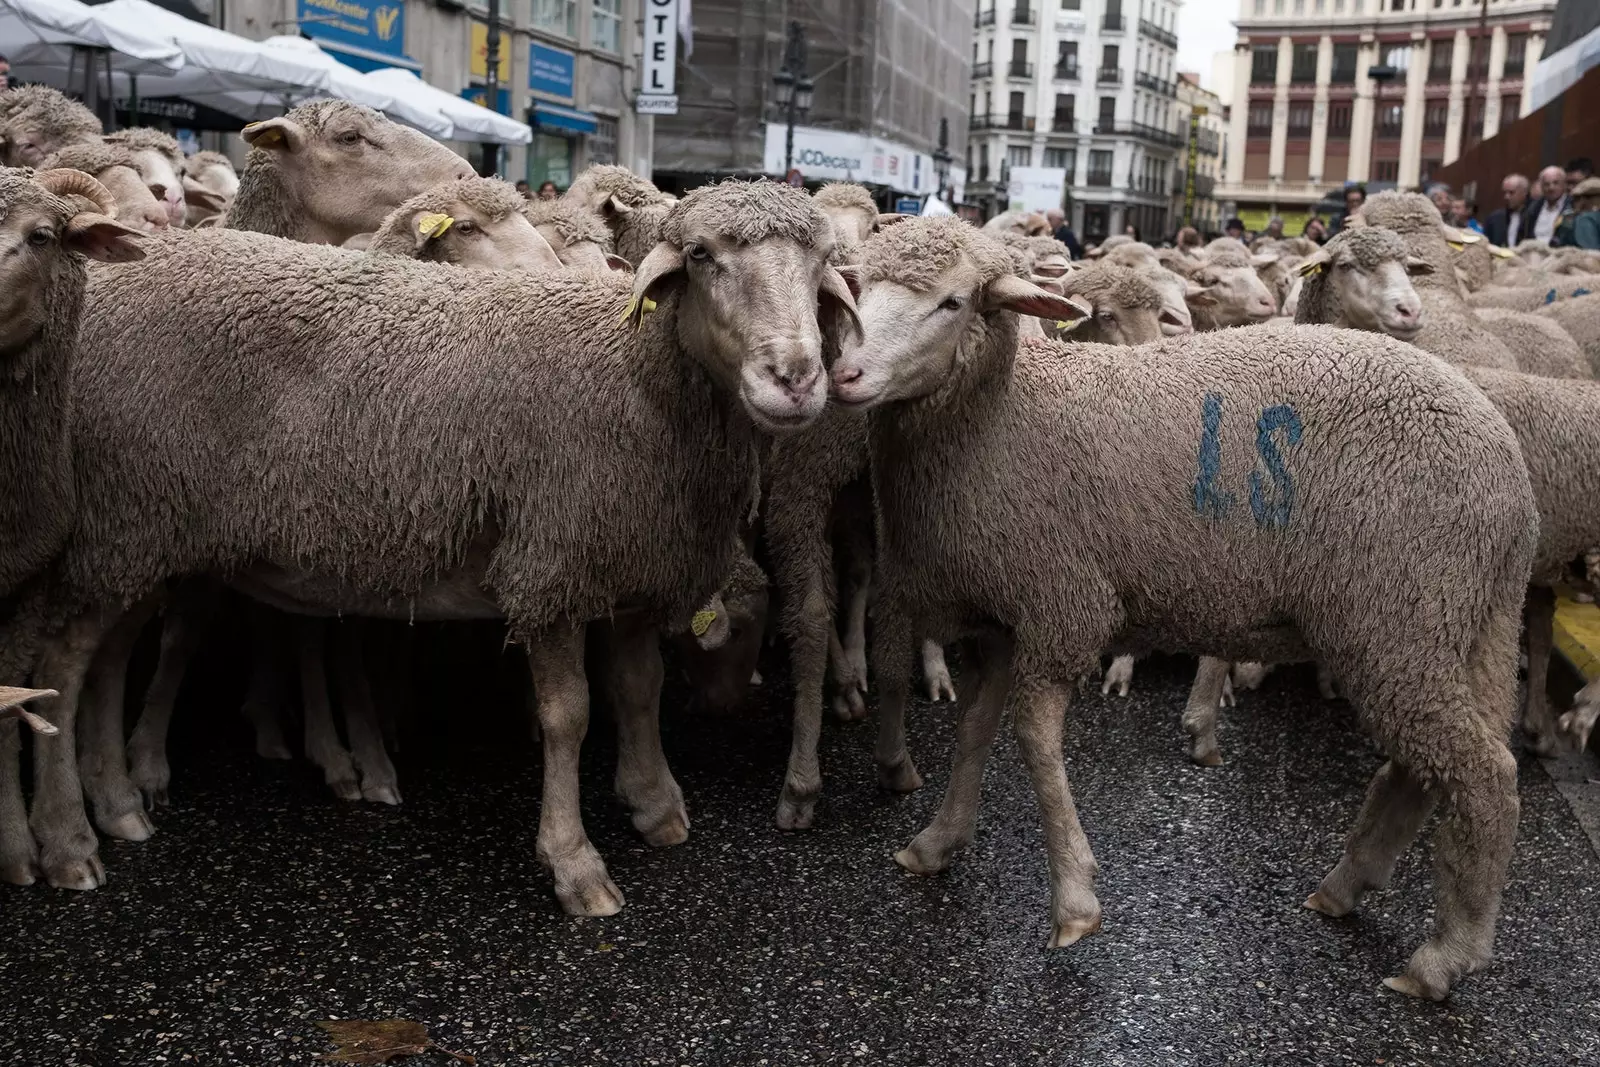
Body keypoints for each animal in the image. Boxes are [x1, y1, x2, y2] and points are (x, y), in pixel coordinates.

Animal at [18, 179, 857, 908]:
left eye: (821, 262)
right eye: (704, 256)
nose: (795, 378)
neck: (633, 372)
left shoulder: (630, 559)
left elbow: (638, 689)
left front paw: (656, 805)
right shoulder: (550, 561)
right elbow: (570, 714)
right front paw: (575, 862)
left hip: (139, 531)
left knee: (107, 660)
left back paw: (116, 799)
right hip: (123, 518)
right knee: (64, 664)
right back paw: (67, 841)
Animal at [832, 214, 1529, 1004]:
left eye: (951, 302)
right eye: (857, 287)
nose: (845, 376)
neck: (1008, 413)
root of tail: (1508, 466)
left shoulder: (1063, 602)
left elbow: (1035, 738)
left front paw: (1074, 899)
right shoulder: (1001, 617)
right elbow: (975, 731)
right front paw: (937, 840)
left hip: (1400, 615)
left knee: (1485, 775)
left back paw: (1446, 954)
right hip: (1448, 624)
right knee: (1425, 767)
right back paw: (1347, 884)